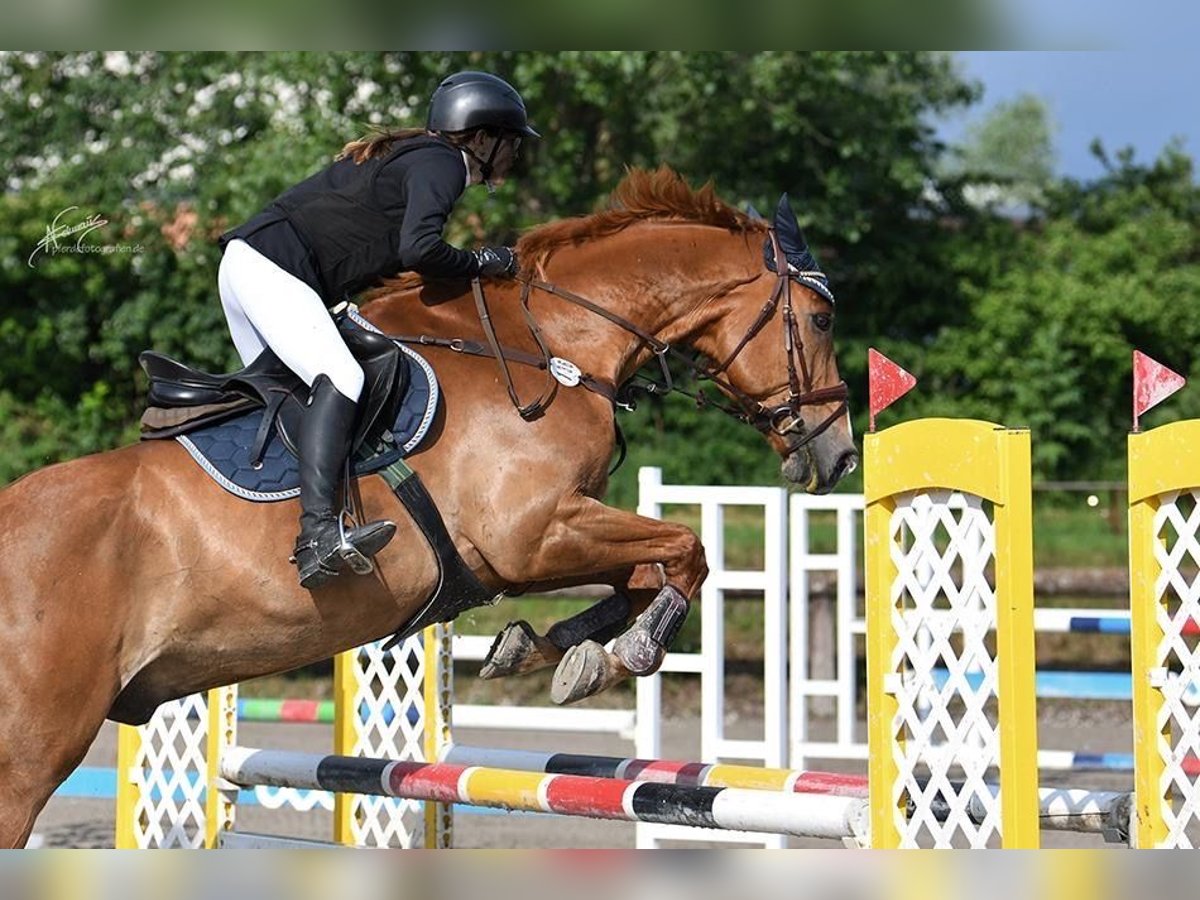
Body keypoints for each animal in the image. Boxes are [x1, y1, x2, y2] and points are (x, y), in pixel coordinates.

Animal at [0, 168, 854, 844]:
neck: (553, 346)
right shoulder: (530, 534)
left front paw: (550, 652)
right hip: (32, 746)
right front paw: (629, 652)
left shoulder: (536, 544)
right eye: (820, 319)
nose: (840, 453)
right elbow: (685, 549)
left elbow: (643, 575)